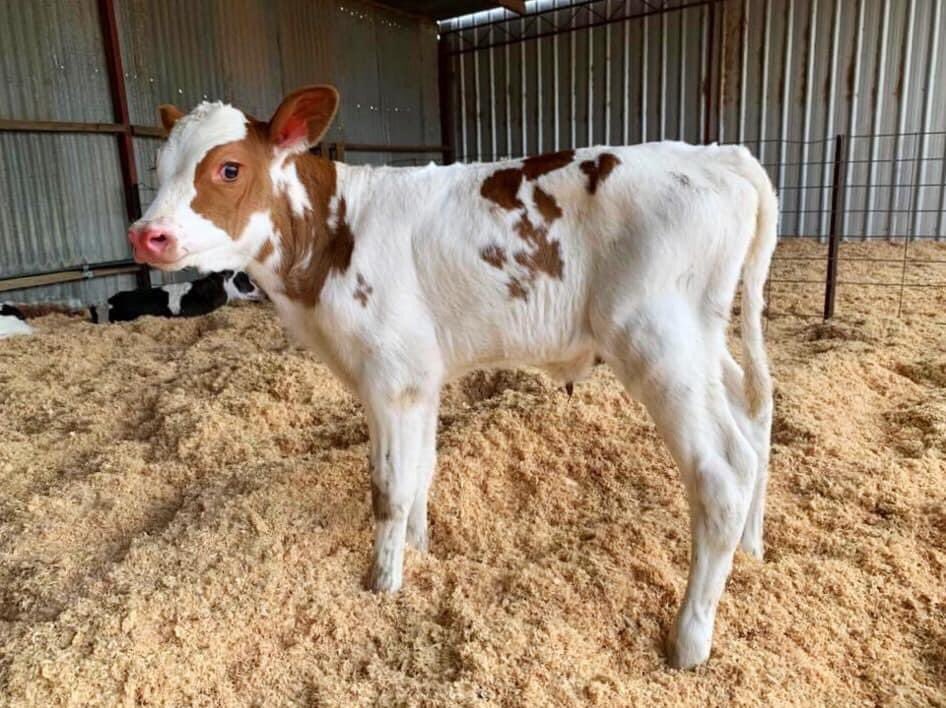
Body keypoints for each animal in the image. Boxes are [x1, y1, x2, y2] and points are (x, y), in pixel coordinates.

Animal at [128, 86, 777, 669]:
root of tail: (719, 156)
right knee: (751, 423)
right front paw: (420, 554)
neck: (332, 241)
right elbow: (421, 471)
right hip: (702, 340)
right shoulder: (416, 376)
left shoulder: (389, 374)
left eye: (229, 167)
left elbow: (389, 489)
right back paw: (752, 552)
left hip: (657, 340)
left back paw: (689, 642)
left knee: (722, 473)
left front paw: (382, 584)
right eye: (158, 167)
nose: (146, 234)